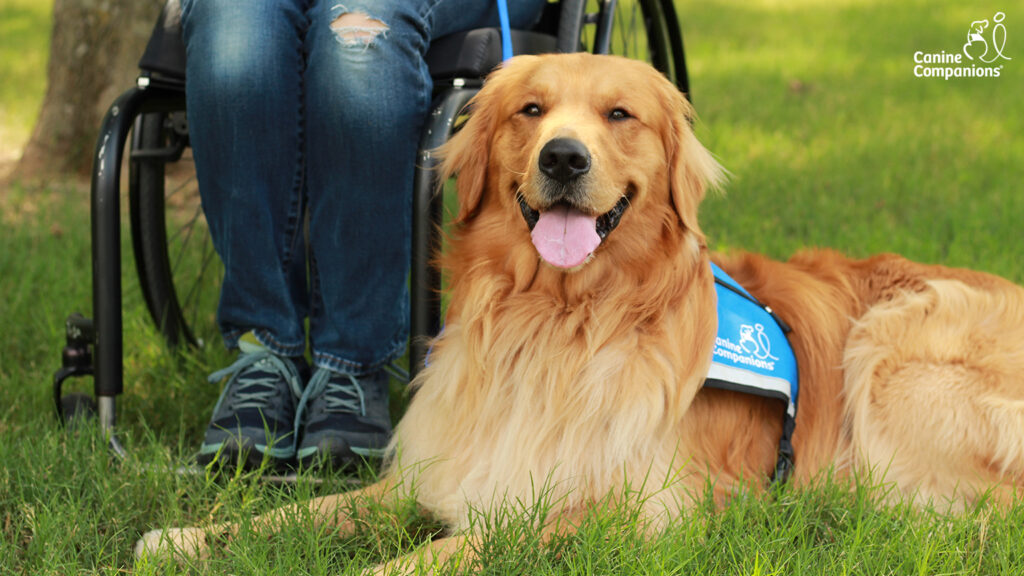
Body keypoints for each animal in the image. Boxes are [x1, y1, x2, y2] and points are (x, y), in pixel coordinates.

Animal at [134, 52, 1024, 569]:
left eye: (619, 115)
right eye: (530, 110)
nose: (564, 157)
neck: (555, 322)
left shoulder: (638, 510)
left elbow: (438, 554)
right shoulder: (442, 466)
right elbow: (305, 512)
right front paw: (186, 537)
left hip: (891, 350)